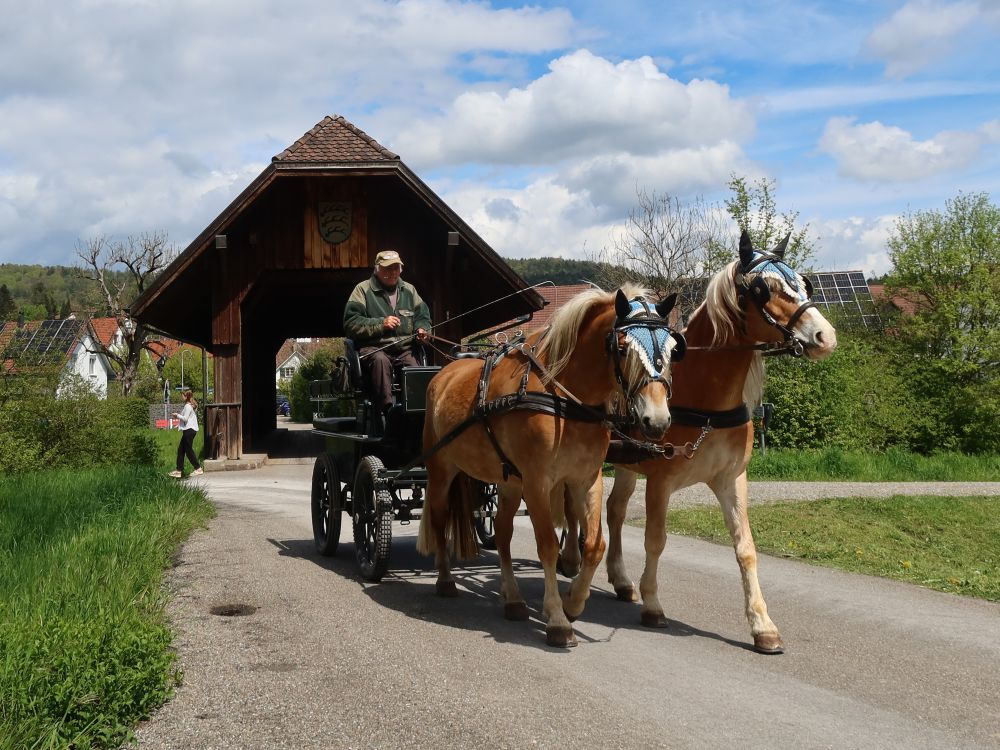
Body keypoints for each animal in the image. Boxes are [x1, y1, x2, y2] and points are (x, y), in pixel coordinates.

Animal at [418, 284, 684, 648]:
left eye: (673, 347)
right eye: (622, 347)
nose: (657, 421)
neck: (564, 399)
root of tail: (443, 373)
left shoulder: (586, 479)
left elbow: (595, 545)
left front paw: (573, 602)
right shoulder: (537, 482)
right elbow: (546, 545)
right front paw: (558, 618)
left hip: (509, 482)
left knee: (502, 532)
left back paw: (513, 599)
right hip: (442, 470)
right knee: (439, 518)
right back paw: (445, 580)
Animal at [564, 232, 836, 656]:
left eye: (804, 284)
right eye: (763, 288)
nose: (826, 337)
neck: (707, 399)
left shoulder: (732, 480)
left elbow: (745, 548)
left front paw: (763, 625)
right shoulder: (661, 481)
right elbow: (656, 540)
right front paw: (654, 606)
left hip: (627, 463)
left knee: (614, 510)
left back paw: (621, 580)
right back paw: (572, 562)